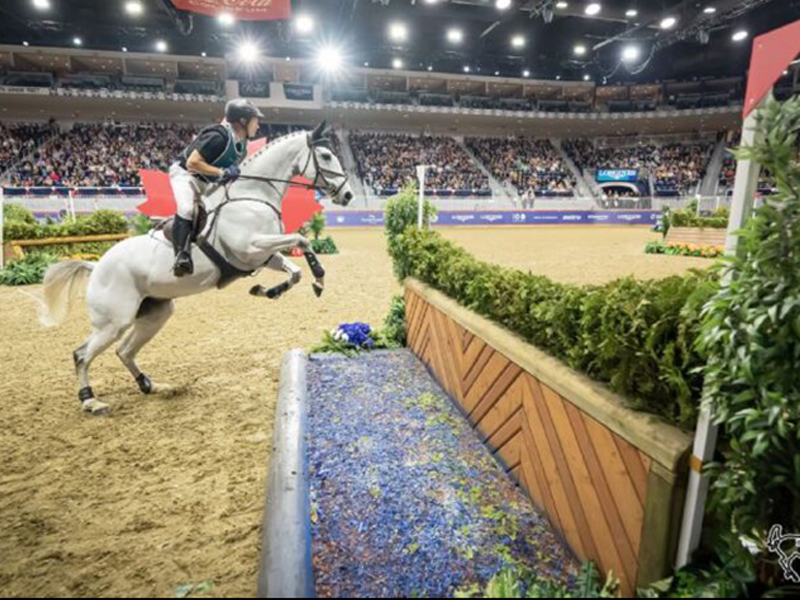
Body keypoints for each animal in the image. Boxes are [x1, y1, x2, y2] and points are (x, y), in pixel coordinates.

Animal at [39, 122, 354, 416]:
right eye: (326, 155)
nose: (349, 196)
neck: (252, 195)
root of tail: (96, 266)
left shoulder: (260, 256)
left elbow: (295, 270)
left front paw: (272, 289)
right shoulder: (250, 246)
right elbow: (302, 239)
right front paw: (315, 279)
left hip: (155, 313)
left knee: (124, 351)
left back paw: (152, 386)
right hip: (114, 321)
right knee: (82, 355)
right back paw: (90, 401)